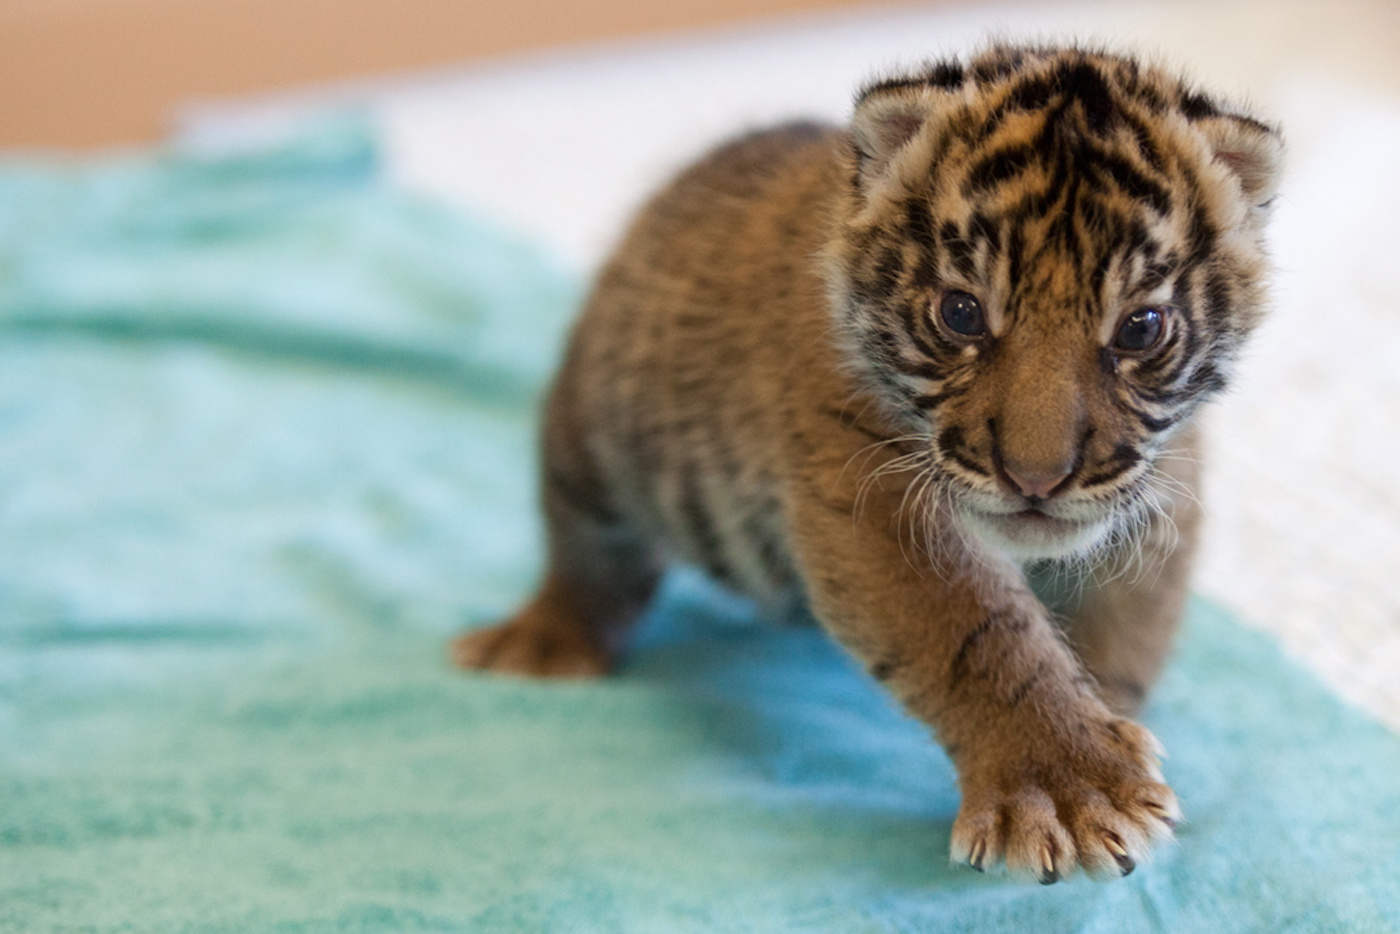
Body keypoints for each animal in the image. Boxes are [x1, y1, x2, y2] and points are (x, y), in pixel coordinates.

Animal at [451, 44, 1281, 883]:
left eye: (1141, 328)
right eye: (961, 314)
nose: (1036, 478)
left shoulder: (1160, 494)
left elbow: (1123, 638)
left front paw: (1111, 730)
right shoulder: (871, 495)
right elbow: (979, 630)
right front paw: (1070, 790)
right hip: (594, 438)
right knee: (589, 553)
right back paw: (542, 644)